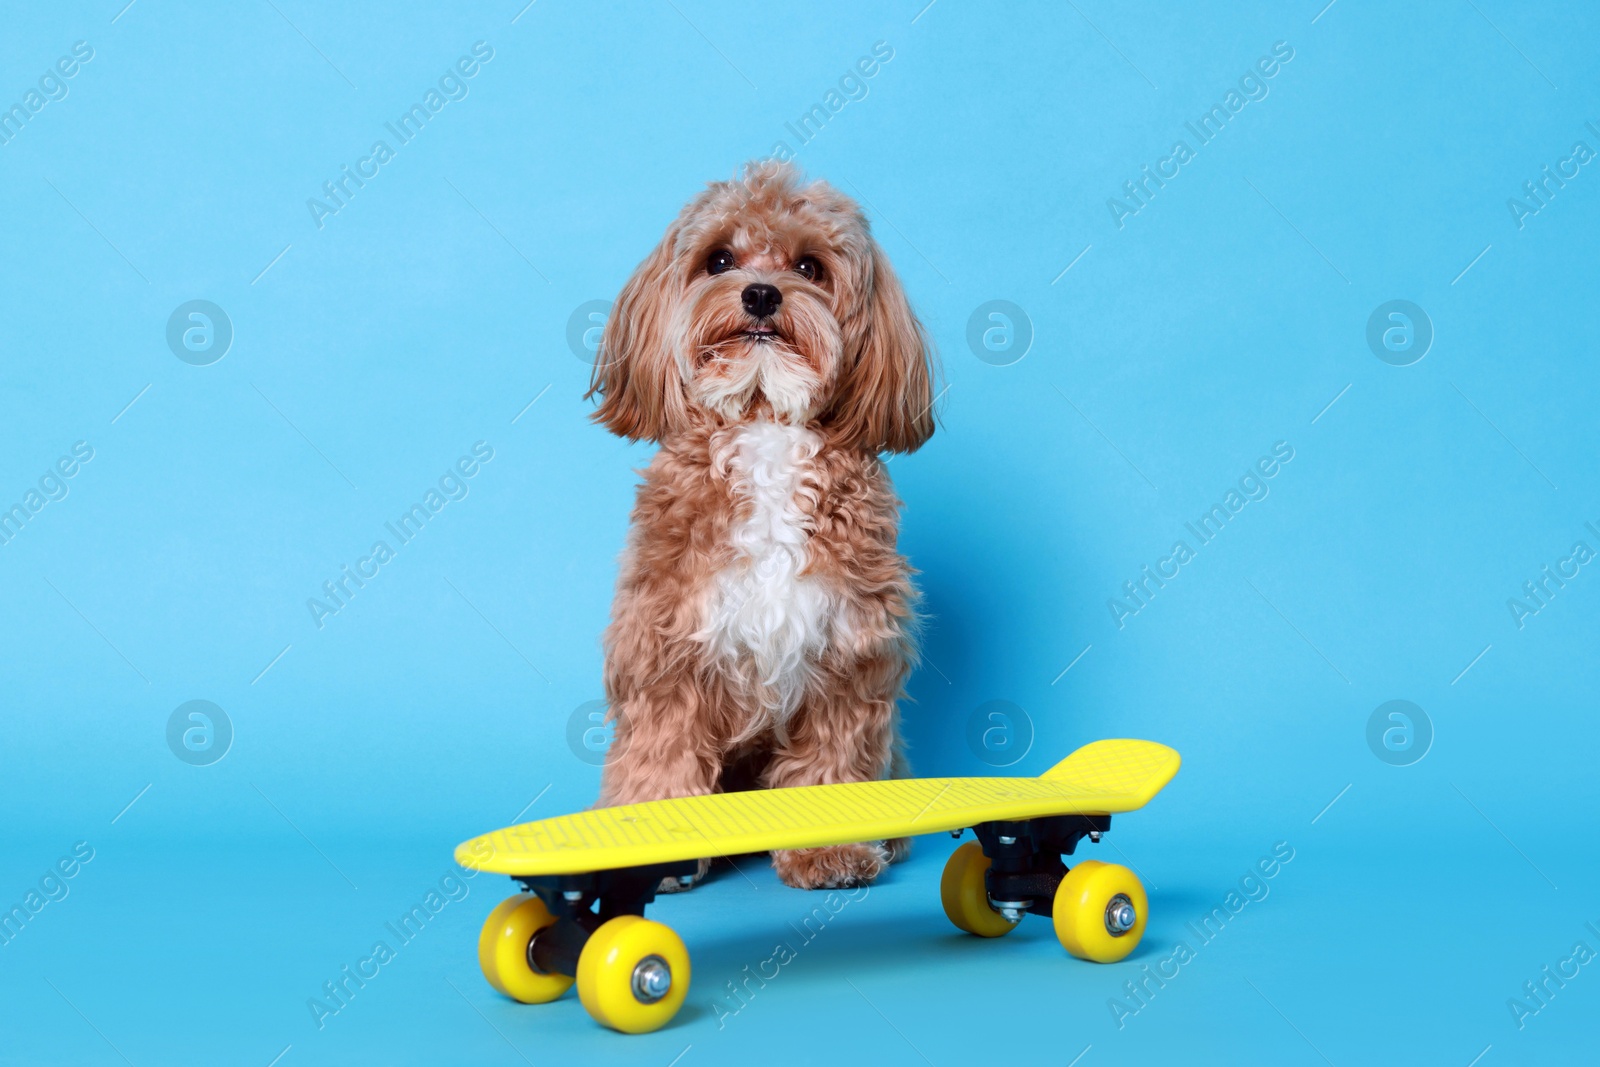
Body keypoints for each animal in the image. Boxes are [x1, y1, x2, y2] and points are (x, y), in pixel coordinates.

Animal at [588, 160, 934, 895]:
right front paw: (656, 849)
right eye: (718, 258)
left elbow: (832, 759)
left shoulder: (849, 651)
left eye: (809, 266)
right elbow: (661, 753)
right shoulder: (666, 648)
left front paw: (829, 848)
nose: (761, 294)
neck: (765, 423)